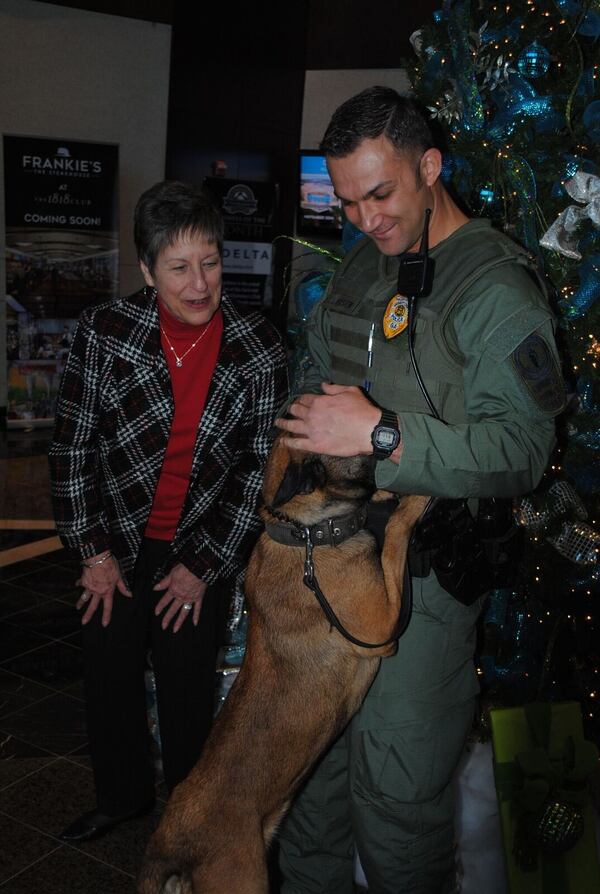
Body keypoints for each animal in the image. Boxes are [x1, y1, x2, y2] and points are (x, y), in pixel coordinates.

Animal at [138, 440, 428, 894]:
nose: (398, 437)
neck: (305, 535)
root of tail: (166, 847)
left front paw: (388, 495)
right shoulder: (383, 631)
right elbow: (396, 533)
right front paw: (414, 500)